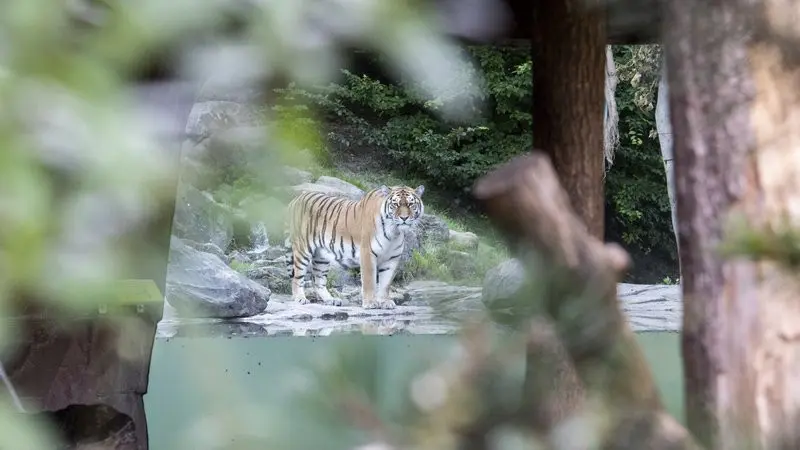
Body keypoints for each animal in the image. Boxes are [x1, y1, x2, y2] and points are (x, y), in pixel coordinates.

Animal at [286, 184, 424, 310]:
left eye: (411, 204)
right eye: (395, 204)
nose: (404, 218)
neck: (394, 231)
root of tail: (295, 199)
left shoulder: (392, 259)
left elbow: (385, 283)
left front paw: (385, 302)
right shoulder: (367, 253)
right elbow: (369, 281)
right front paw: (370, 303)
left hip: (321, 256)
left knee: (318, 281)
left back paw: (331, 300)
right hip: (302, 249)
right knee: (296, 277)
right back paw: (300, 298)